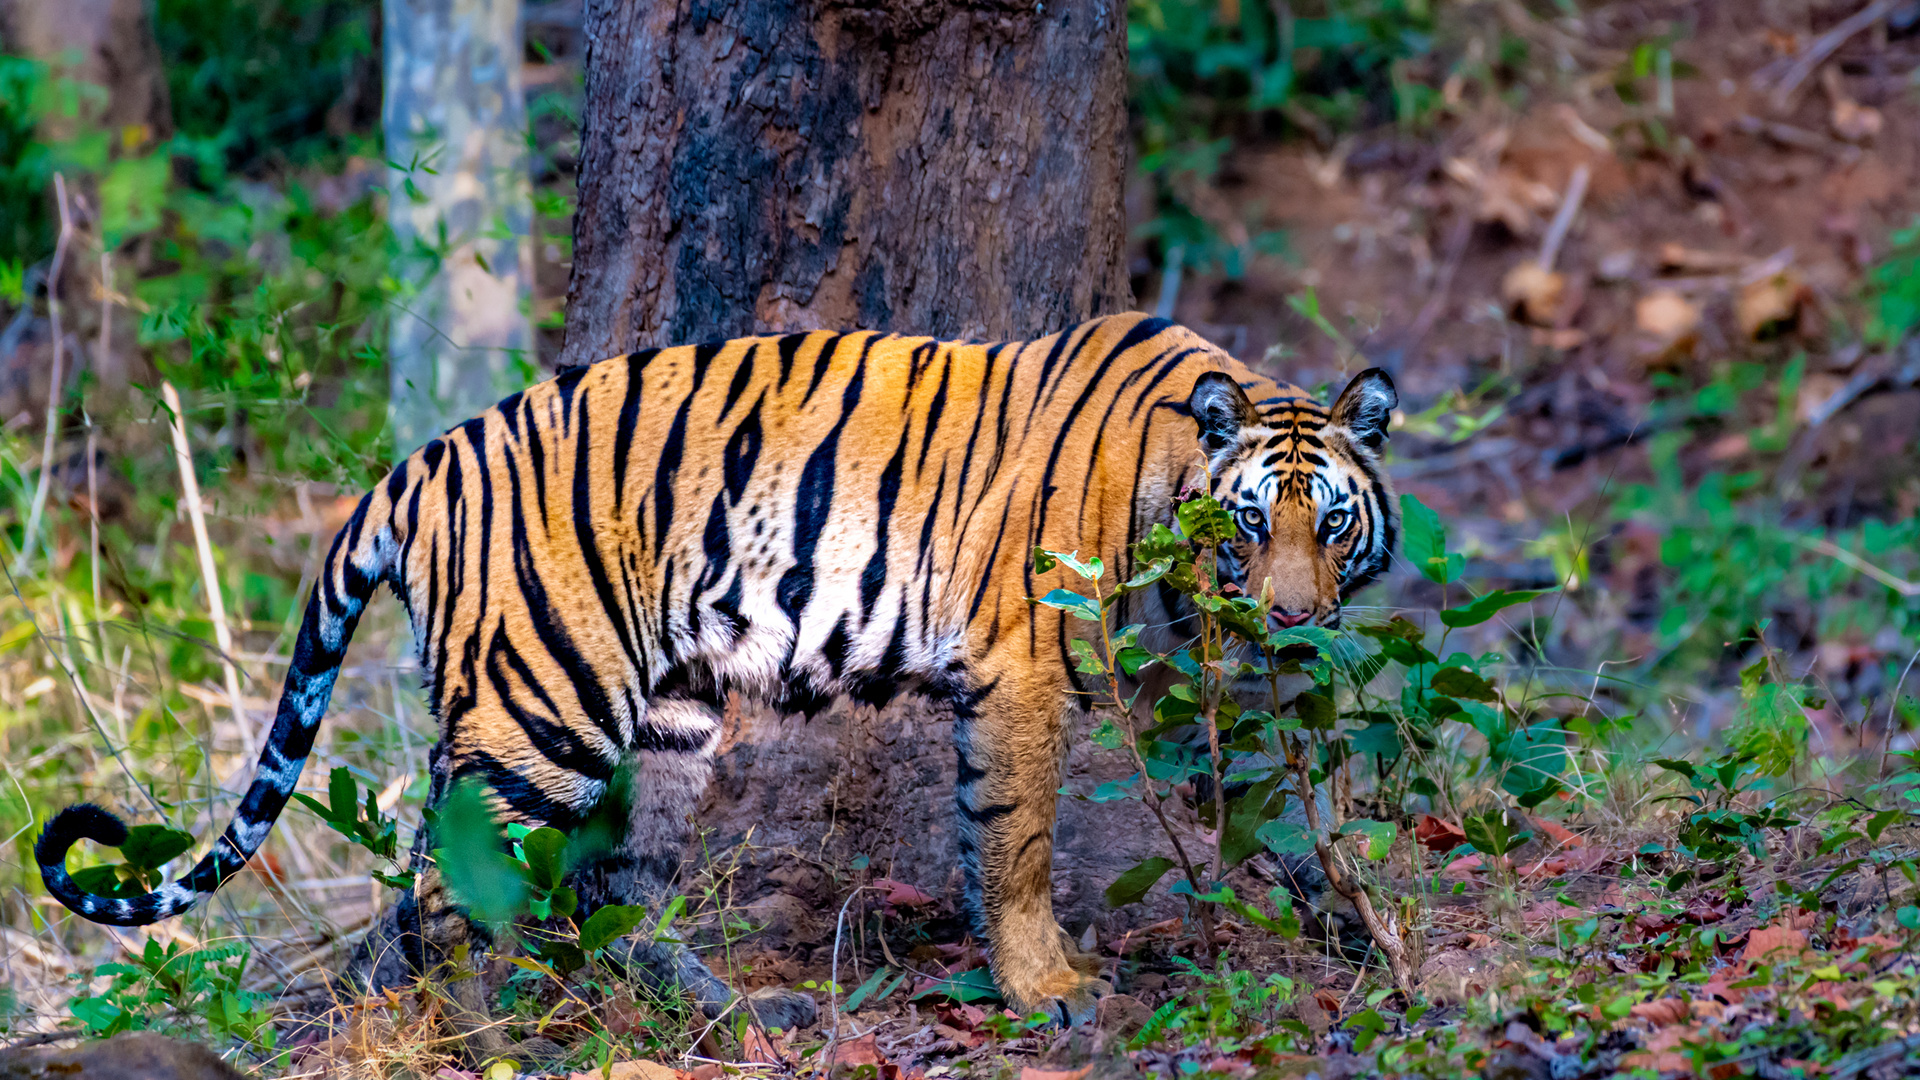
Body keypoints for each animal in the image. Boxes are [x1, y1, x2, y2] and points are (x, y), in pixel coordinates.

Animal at [33, 311, 1397, 1053]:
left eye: (1328, 524)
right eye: (1249, 523)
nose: (1292, 616)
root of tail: (415, 465)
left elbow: (1288, 803)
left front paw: (1355, 924)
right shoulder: (1020, 670)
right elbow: (1013, 841)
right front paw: (1048, 988)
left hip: (670, 718)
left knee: (608, 888)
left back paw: (727, 1017)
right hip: (544, 709)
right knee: (446, 884)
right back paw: (484, 1040)